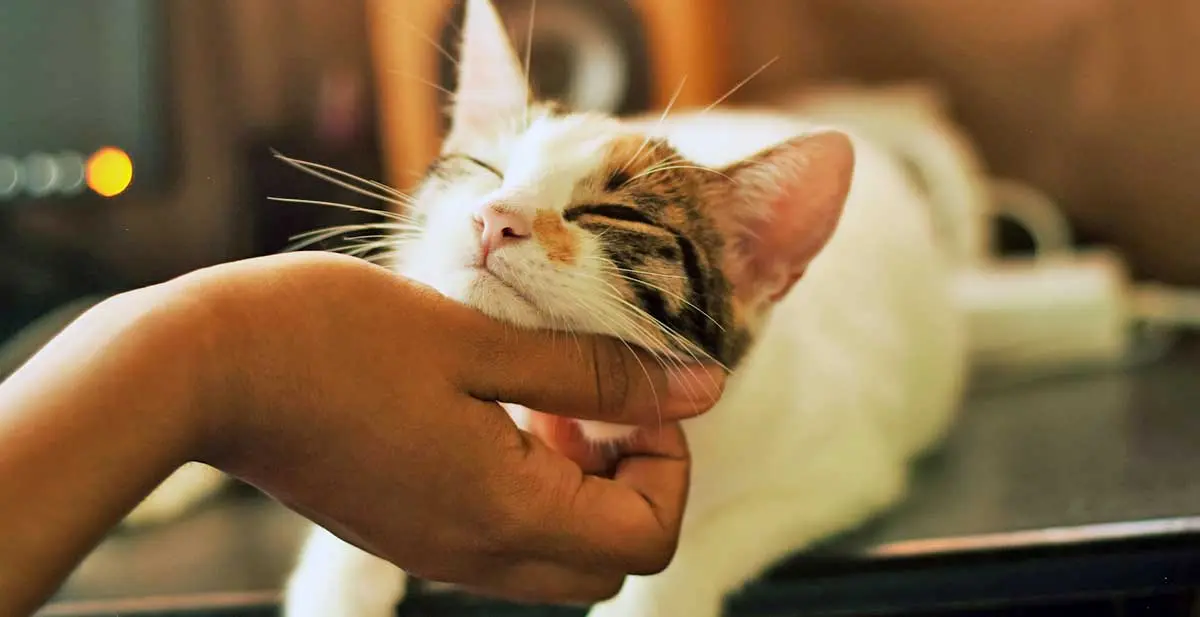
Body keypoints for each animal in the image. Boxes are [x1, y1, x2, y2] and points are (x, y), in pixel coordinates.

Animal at [278, 1, 964, 614]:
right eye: (485, 168)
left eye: (610, 213)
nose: (494, 217)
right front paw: (336, 588)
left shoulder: (839, 467)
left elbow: (704, 540)